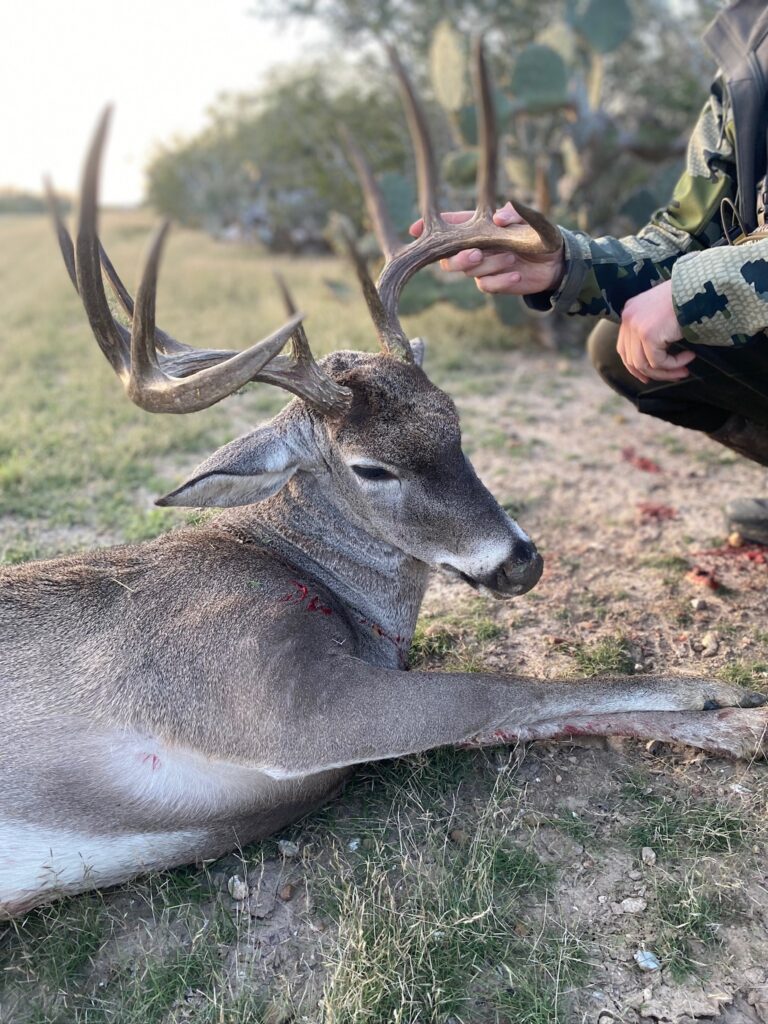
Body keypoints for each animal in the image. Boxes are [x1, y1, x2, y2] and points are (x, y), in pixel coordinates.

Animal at [2, 42, 766, 919]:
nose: (522, 561)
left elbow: (514, 710)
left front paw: (728, 715)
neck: (311, 581)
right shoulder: (260, 694)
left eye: (454, 418)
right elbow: (495, 689)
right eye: (371, 466)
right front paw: (732, 702)